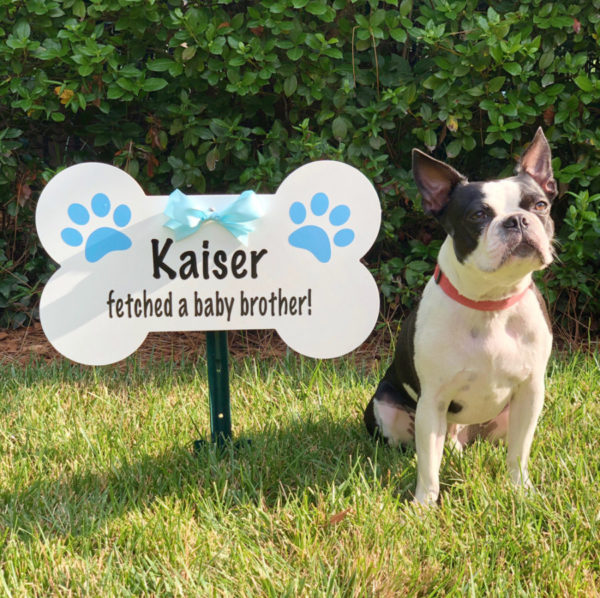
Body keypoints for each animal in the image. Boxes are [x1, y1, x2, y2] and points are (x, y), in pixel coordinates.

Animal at [366, 127, 556, 506]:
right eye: (477, 215)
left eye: (540, 205)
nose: (517, 220)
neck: (491, 303)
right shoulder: (433, 401)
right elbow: (428, 464)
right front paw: (424, 505)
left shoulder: (530, 393)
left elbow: (519, 453)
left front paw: (521, 490)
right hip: (387, 408)